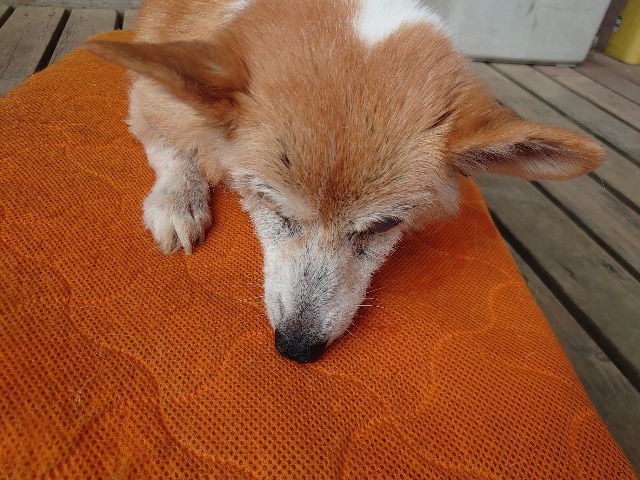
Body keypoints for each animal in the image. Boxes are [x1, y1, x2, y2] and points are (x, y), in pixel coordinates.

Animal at [82, 0, 603, 363]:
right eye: (269, 205)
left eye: (385, 225)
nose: (296, 348)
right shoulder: (149, 101)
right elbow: (174, 150)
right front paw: (177, 202)